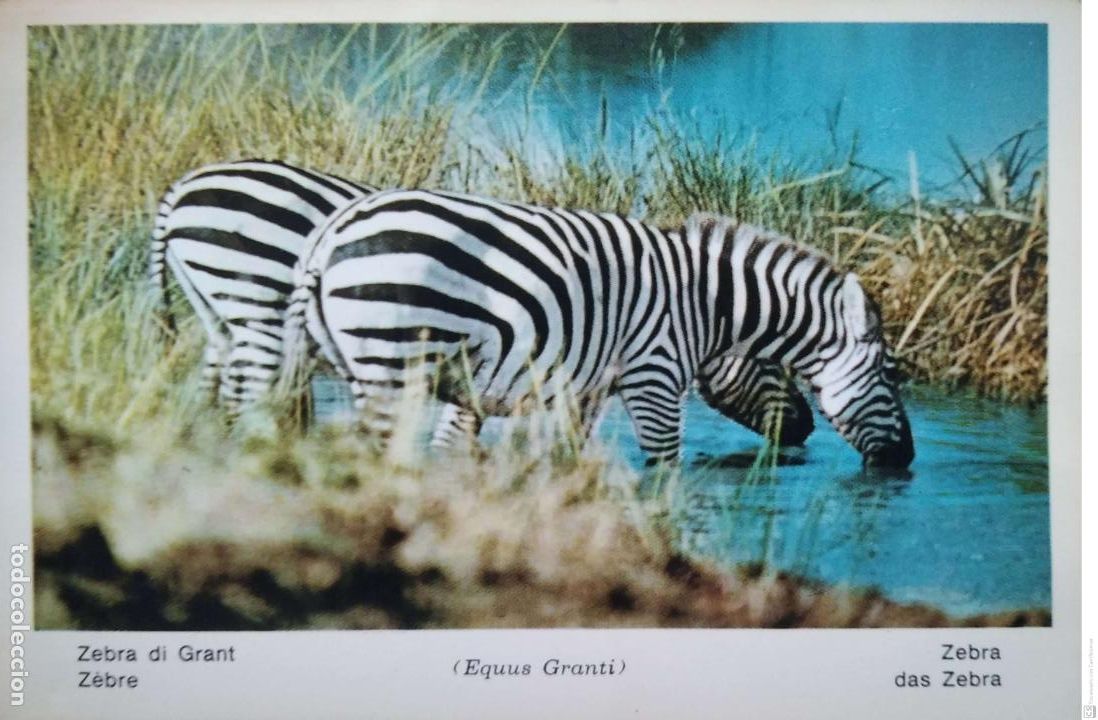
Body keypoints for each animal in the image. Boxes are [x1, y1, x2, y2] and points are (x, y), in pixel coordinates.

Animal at [282, 188, 912, 467]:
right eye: (891, 373)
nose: (905, 459)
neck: (705, 306)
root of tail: (334, 234)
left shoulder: (582, 390)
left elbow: (565, 459)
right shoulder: (654, 376)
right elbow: (663, 468)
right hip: (390, 360)